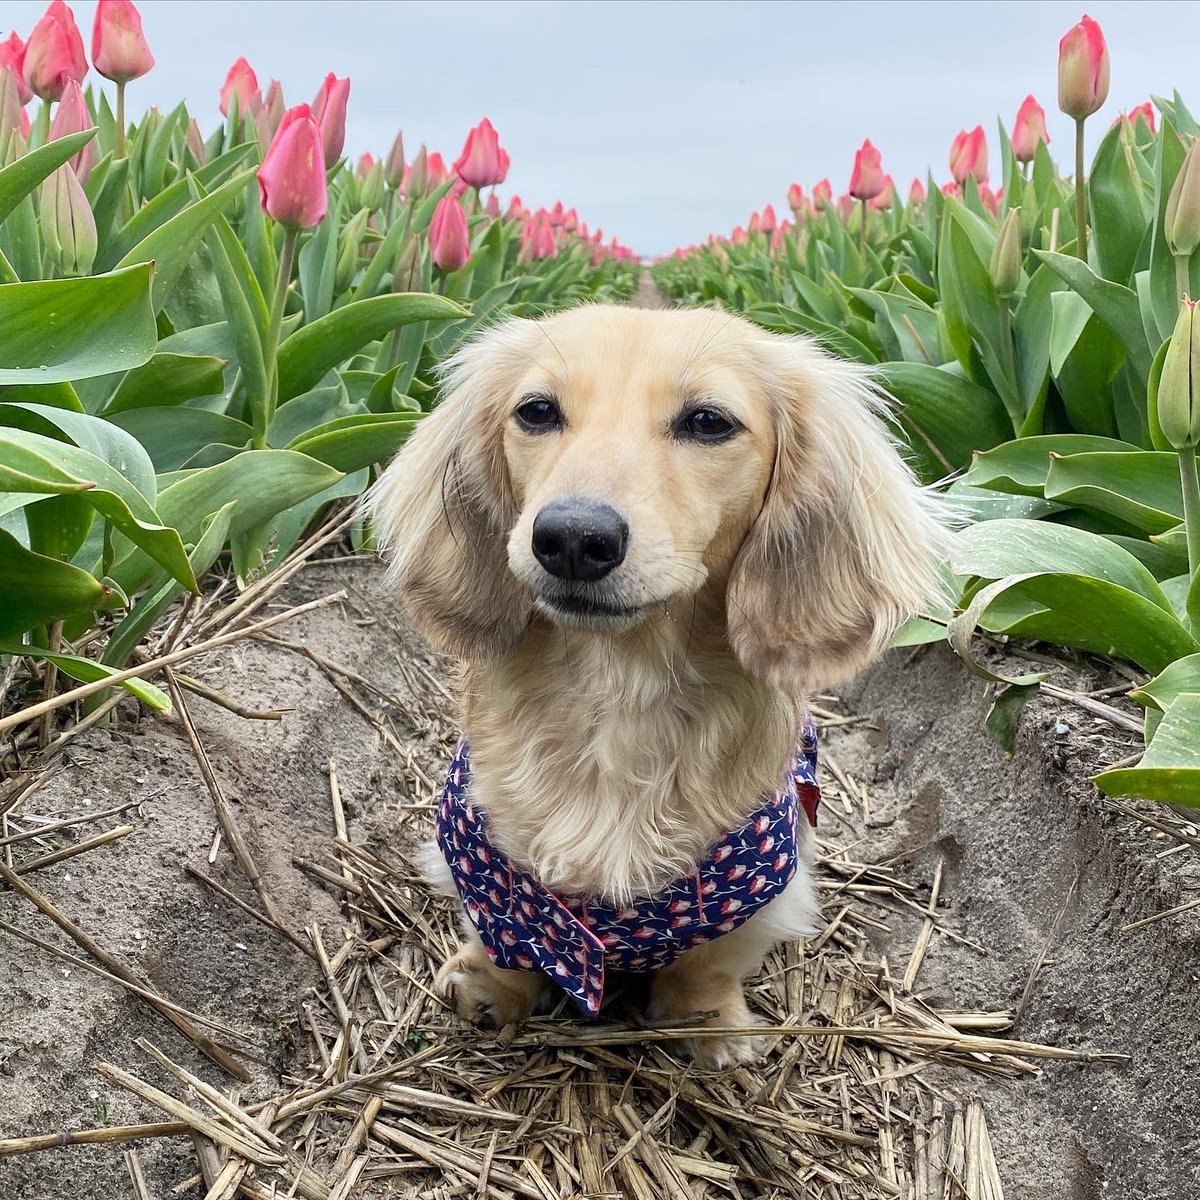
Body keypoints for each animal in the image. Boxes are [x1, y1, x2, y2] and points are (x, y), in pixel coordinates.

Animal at [369, 304, 950, 1065]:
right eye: (537, 410)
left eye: (707, 421)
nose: (573, 538)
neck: (618, 695)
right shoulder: (481, 855)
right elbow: (510, 932)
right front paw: (491, 985)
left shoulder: (760, 888)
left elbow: (706, 964)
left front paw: (709, 1025)